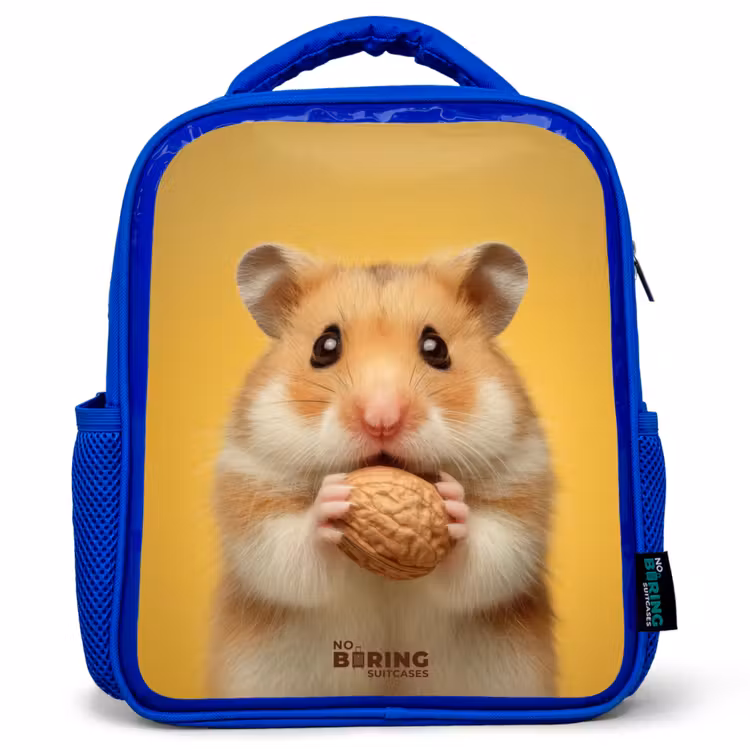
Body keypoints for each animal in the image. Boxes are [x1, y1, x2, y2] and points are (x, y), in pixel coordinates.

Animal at [209, 242, 556, 699]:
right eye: (324, 346)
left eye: (436, 347)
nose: (382, 420)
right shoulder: (251, 492)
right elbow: (288, 554)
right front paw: (331, 501)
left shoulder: (520, 493)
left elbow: (488, 558)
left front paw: (453, 504)